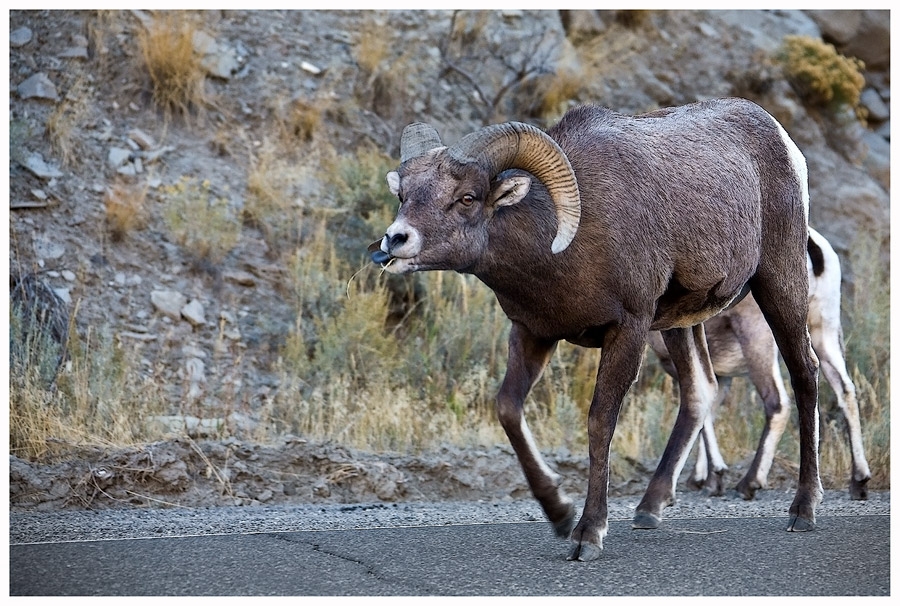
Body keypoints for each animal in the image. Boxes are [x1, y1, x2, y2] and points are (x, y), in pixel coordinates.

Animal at [366, 97, 824, 564]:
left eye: (467, 197)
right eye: (404, 195)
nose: (395, 240)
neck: (562, 245)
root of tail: (783, 141)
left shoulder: (628, 330)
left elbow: (600, 420)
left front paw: (587, 535)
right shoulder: (532, 333)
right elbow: (508, 409)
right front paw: (558, 512)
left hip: (777, 285)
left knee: (804, 374)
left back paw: (802, 511)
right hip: (680, 325)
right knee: (700, 390)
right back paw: (649, 508)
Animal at [648, 226, 872, 502]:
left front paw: (715, 476)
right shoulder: (722, 376)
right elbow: (709, 410)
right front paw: (704, 479)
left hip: (760, 339)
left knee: (778, 402)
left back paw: (750, 483)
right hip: (824, 332)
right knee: (846, 391)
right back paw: (859, 482)